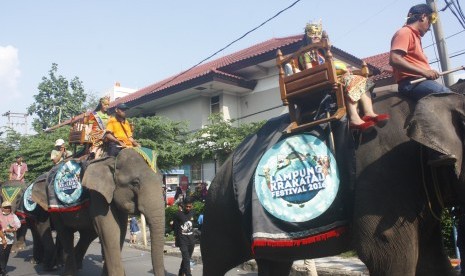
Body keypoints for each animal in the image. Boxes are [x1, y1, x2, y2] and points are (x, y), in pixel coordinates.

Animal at [30, 148, 165, 276]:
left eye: (162, 181)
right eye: (135, 183)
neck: (112, 161)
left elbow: (120, 230)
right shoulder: (97, 195)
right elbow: (110, 230)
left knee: (87, 234)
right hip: (54, 208)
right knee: (65, 233)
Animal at [201, 85, 464, 274]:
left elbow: (432, 260)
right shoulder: (383, 175)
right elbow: (384, 253)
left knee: (273, 262)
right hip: (220, 211)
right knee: (214, 260)